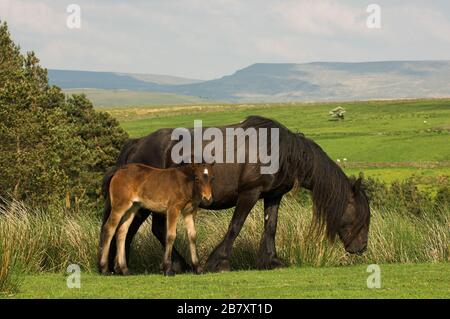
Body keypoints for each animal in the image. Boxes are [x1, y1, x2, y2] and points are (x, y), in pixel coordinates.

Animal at [103, 116, 372, 274]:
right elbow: (235, 226)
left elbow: (270, 227)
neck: (278, 149)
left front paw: (271, 261)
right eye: (362, 216)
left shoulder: (273, 196)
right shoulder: (249, 194)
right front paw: (218, 262)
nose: (361, 248)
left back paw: (123, 266)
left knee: (134, 229)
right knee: (136, 229)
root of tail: (137, 143)